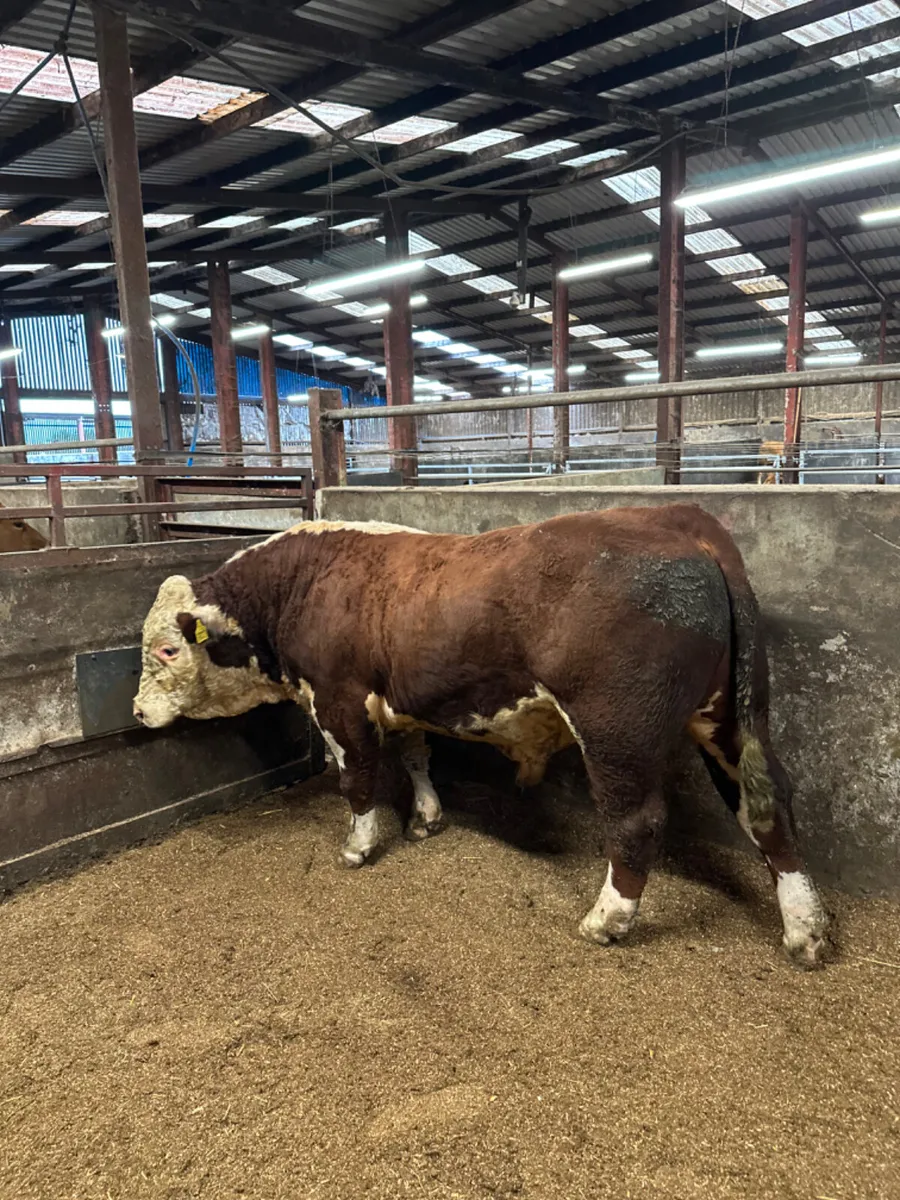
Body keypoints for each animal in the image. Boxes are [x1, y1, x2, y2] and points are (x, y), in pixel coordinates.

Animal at [134, 506, 827, 969]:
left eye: (168, 649)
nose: (137, 712)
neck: (306, 582)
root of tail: (678, 517)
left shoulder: (337, 700)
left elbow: (356, 777)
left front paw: (359, 846)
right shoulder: (402, 701)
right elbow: (415, 757)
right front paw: (426, 817)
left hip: (616, 729)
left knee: (638, 822)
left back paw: (606, 920)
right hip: (731, 718)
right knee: (768, 806)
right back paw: (806, 928)